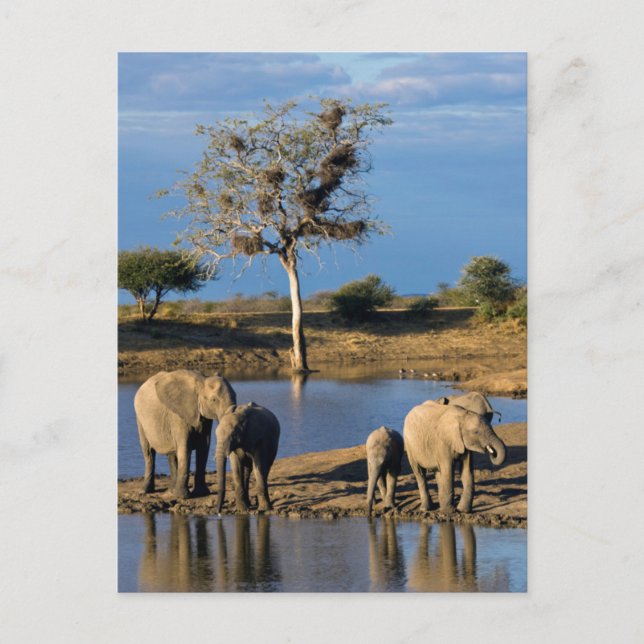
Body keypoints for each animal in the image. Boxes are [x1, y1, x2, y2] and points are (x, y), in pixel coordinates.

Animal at [134, 369, 237, 499]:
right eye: (214, 400)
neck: (202, 381)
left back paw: (171, 491)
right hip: (140, 419)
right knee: (148, 452)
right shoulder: (178, 415)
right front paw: (182, 497)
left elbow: (204, 447)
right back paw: (145, 491)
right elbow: (185, 447)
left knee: (171, 453)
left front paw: (201, 493)